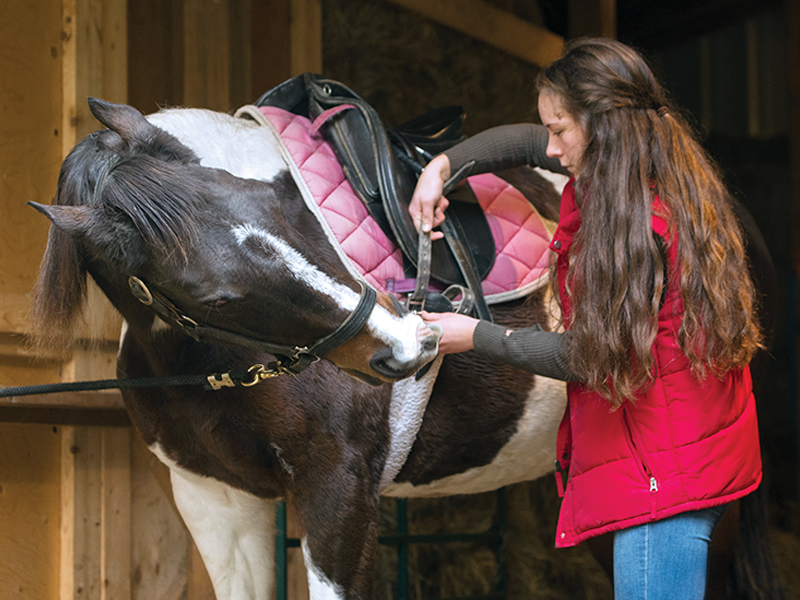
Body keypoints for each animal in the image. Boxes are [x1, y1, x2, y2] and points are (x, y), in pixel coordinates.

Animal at [29, 96, 782, 600]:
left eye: (290, 213)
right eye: (212, 296)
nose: (405, 346)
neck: (202, 363)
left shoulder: (339, 493)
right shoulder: (217, 503)